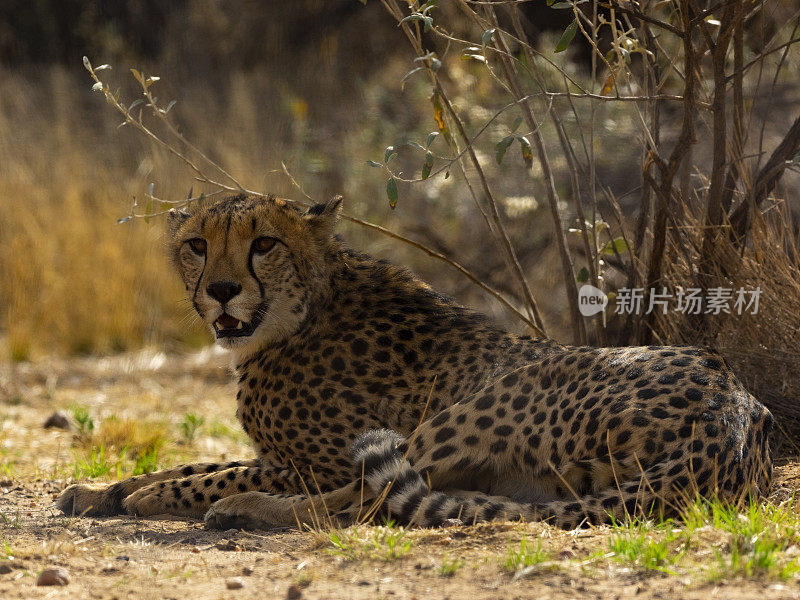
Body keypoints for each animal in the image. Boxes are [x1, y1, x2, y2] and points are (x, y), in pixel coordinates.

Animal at [54, 193, 768, 528]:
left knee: (364, 501)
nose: (223, 291)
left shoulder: (315, 460)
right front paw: (99, 490)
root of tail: (733, 417)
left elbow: (215, 474)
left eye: (264, 244)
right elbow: (196, 462)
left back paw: (246, 512)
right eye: (197, 244)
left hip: (487, 398)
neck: (307, 304)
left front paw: (152, 497)